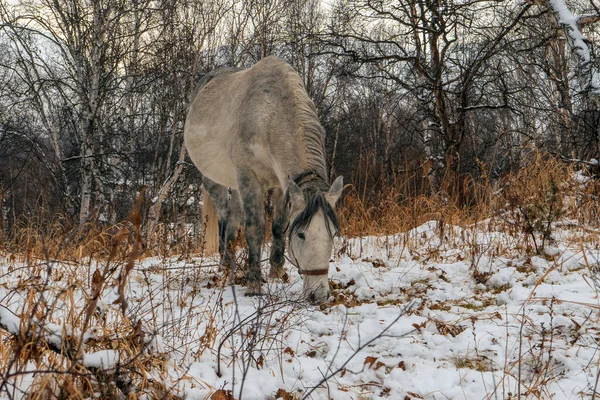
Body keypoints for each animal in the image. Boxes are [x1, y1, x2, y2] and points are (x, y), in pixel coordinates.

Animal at [183, 56, 342, 304]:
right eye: (301, 234)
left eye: (333, 234)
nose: (319, 294)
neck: (267, 113)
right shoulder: (249, 177)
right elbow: (255, 227)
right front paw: (254, 283)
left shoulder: (281, 184)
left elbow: (277, 227)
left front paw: (277, 273)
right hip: (215, 179)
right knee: (225, 217)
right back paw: (225, 265)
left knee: (233, 218)